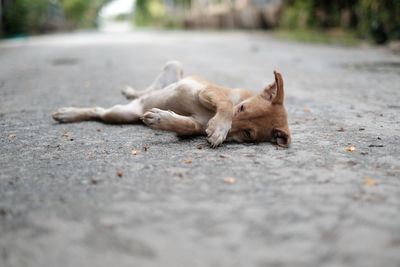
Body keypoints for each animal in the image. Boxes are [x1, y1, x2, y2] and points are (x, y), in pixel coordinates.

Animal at [52, 61, 290, 149]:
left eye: (248, 134)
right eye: (241, 109)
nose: (211, 127)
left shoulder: (194, 124)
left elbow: (185, 125)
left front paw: (161, 119)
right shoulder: (206, 91)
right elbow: (224, 103)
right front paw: (220, 128)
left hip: (119, 114)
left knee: (99, 111)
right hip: (174, 67)